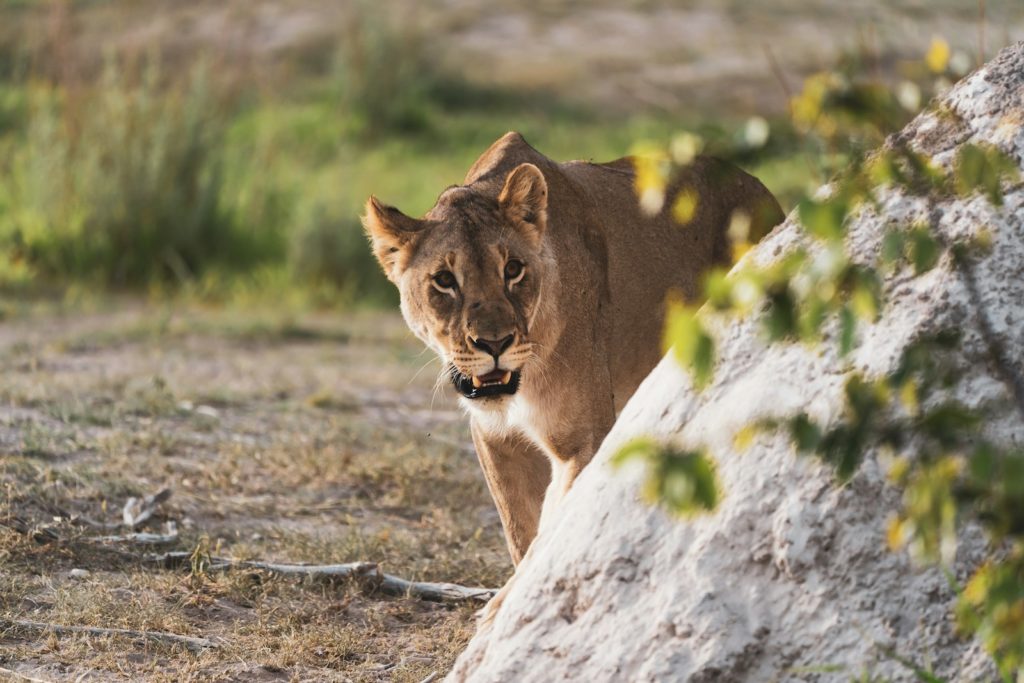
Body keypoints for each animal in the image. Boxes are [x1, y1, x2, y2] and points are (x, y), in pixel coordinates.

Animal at [364, 132, 783, 572]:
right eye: (444, 280)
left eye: (513, 270)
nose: (494, 344)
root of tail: (762, 190)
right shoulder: (495, 439)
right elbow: (521, 533)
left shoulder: (583, 440)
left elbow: (553, 531)